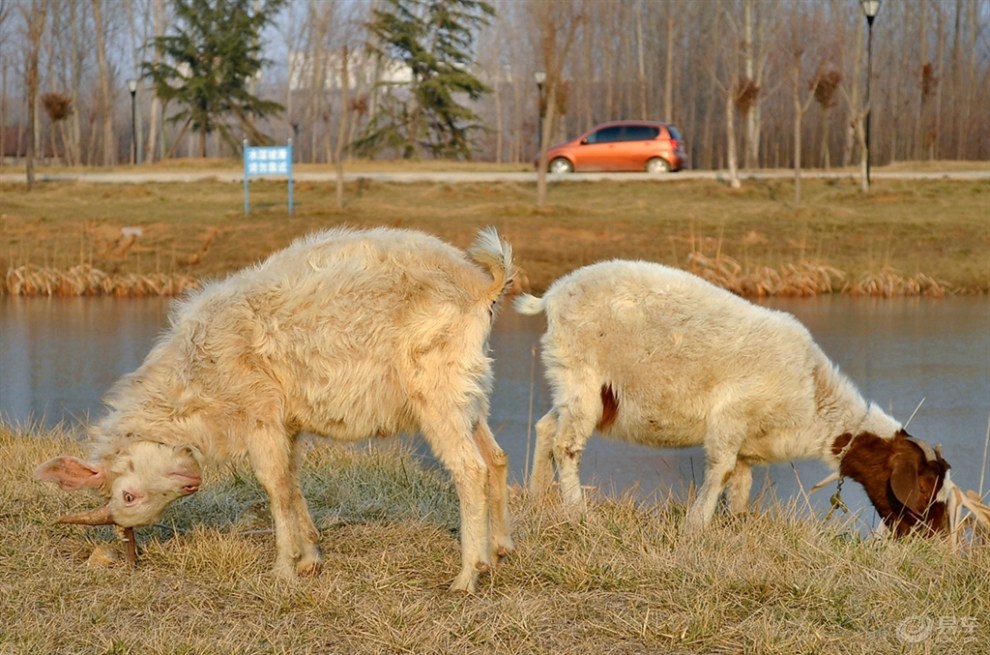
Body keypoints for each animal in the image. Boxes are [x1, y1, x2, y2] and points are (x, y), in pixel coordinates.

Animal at [36, 227, 520, 596]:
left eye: (127, 497)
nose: (192, 482)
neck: (195, 374)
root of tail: (482, 288)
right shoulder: (287, 422)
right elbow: (291, 481)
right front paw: (310, 558)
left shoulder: (260, 412)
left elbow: (274, 485)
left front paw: (283, 569)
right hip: (469, 393)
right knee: (496, 458)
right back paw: (498, 552)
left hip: (437, 393)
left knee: (469, 469)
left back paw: (466, 576)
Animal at [520, 258, 968, 540]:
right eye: (925, 486)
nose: (932, 540)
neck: (813, 396)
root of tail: (552, 296)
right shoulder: (731, 416)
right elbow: (719, 470)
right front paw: (696, 527)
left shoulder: (750, 443)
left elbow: (740, 481)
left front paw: (735, 524)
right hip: (581, 377)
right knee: (566, 445)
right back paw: (577, 512)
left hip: (574, 385)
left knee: (546, 428)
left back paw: (537, 497)